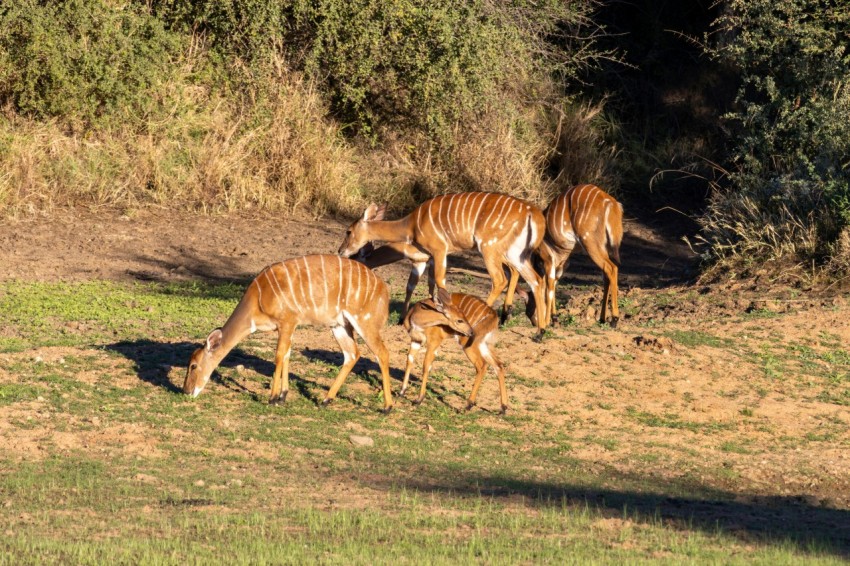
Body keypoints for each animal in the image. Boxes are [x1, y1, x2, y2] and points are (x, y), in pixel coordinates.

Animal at [182, 254, 395, 413]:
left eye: (193, 365)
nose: (186, 391)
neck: (258, 299)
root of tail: (384, 291)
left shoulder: (287, 321)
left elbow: (278, 355)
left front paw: (272, 398)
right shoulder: (288, 326)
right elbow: (287, 354)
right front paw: (283, 396)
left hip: (364, 321)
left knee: (382, 352)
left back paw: (387, 407)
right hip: (339, 325)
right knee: (352, 354)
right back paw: (325, 400)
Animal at [337, 192, 549, 336]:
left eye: (348, 231)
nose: (340, 252)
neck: (411, 225)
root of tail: (534, 214)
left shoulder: (438, 251)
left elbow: (439, 284)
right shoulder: (424, 258)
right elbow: (414, 285)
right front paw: (403, 319)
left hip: (489, 248)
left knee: (500, 280)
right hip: (517, 254)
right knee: (535, 280)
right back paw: (539, 330)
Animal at [537, 184, 623, 327]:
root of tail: (610, 203)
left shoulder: (548, 260)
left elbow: (548, 286)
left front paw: (548, 320)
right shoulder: (561, 263)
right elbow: (553, 283)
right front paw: (554, 319)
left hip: (589, 242)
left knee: (611, 268)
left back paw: (614, 319)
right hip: (605, 246)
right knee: (607, 274)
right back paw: (602, 318)